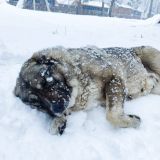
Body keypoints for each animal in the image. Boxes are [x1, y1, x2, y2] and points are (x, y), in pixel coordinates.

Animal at [13, 45, 160, 134]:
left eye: (46, 79)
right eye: (38, 103)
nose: (58, 108)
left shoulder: (115, 78)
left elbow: (111, 115)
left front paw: (133, 121)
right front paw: (58, 121)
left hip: (150, 54)